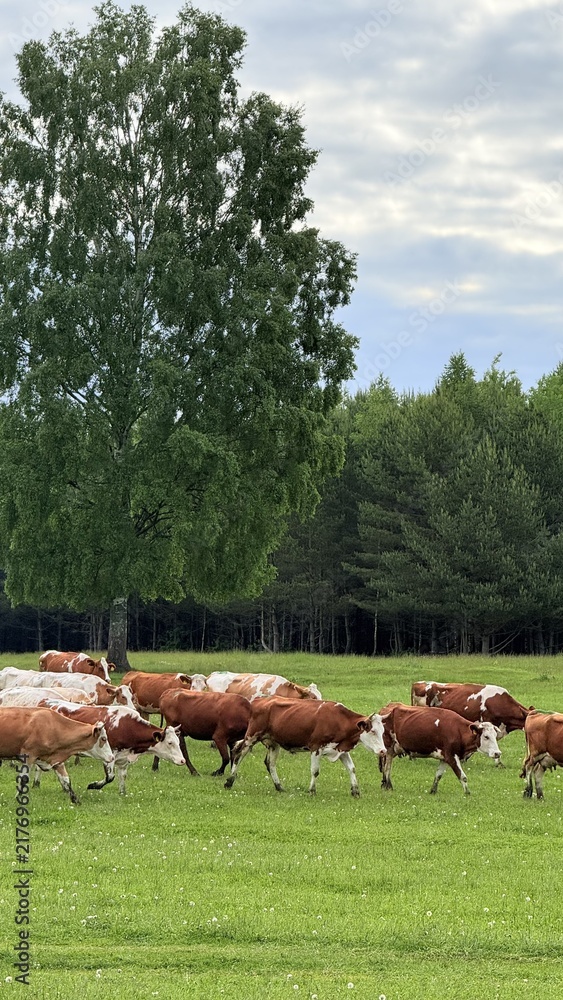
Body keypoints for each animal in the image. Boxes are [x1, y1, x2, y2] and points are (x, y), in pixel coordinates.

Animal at [40, 702, 186, 794]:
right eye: (170, 743)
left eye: (178, 742)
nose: (183, 760)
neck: (127, 726)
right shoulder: (109, 756)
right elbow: (110, 777)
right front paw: (93, 785)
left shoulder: (124, 758)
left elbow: (122, 776)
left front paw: (122, 793)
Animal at [225, 697, 386, 797]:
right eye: (372, 731)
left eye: (382, 731)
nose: (383, 751)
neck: (338, 720)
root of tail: (260, 701)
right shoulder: (316, 748)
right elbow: (315, 771)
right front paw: (312, 791)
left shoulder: (341, 749)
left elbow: (351, 769)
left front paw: (355, 791)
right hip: (252, 736)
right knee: (239, 754)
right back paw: (229, 781)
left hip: (273, 743)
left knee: (270, 763)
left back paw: (279, 786)